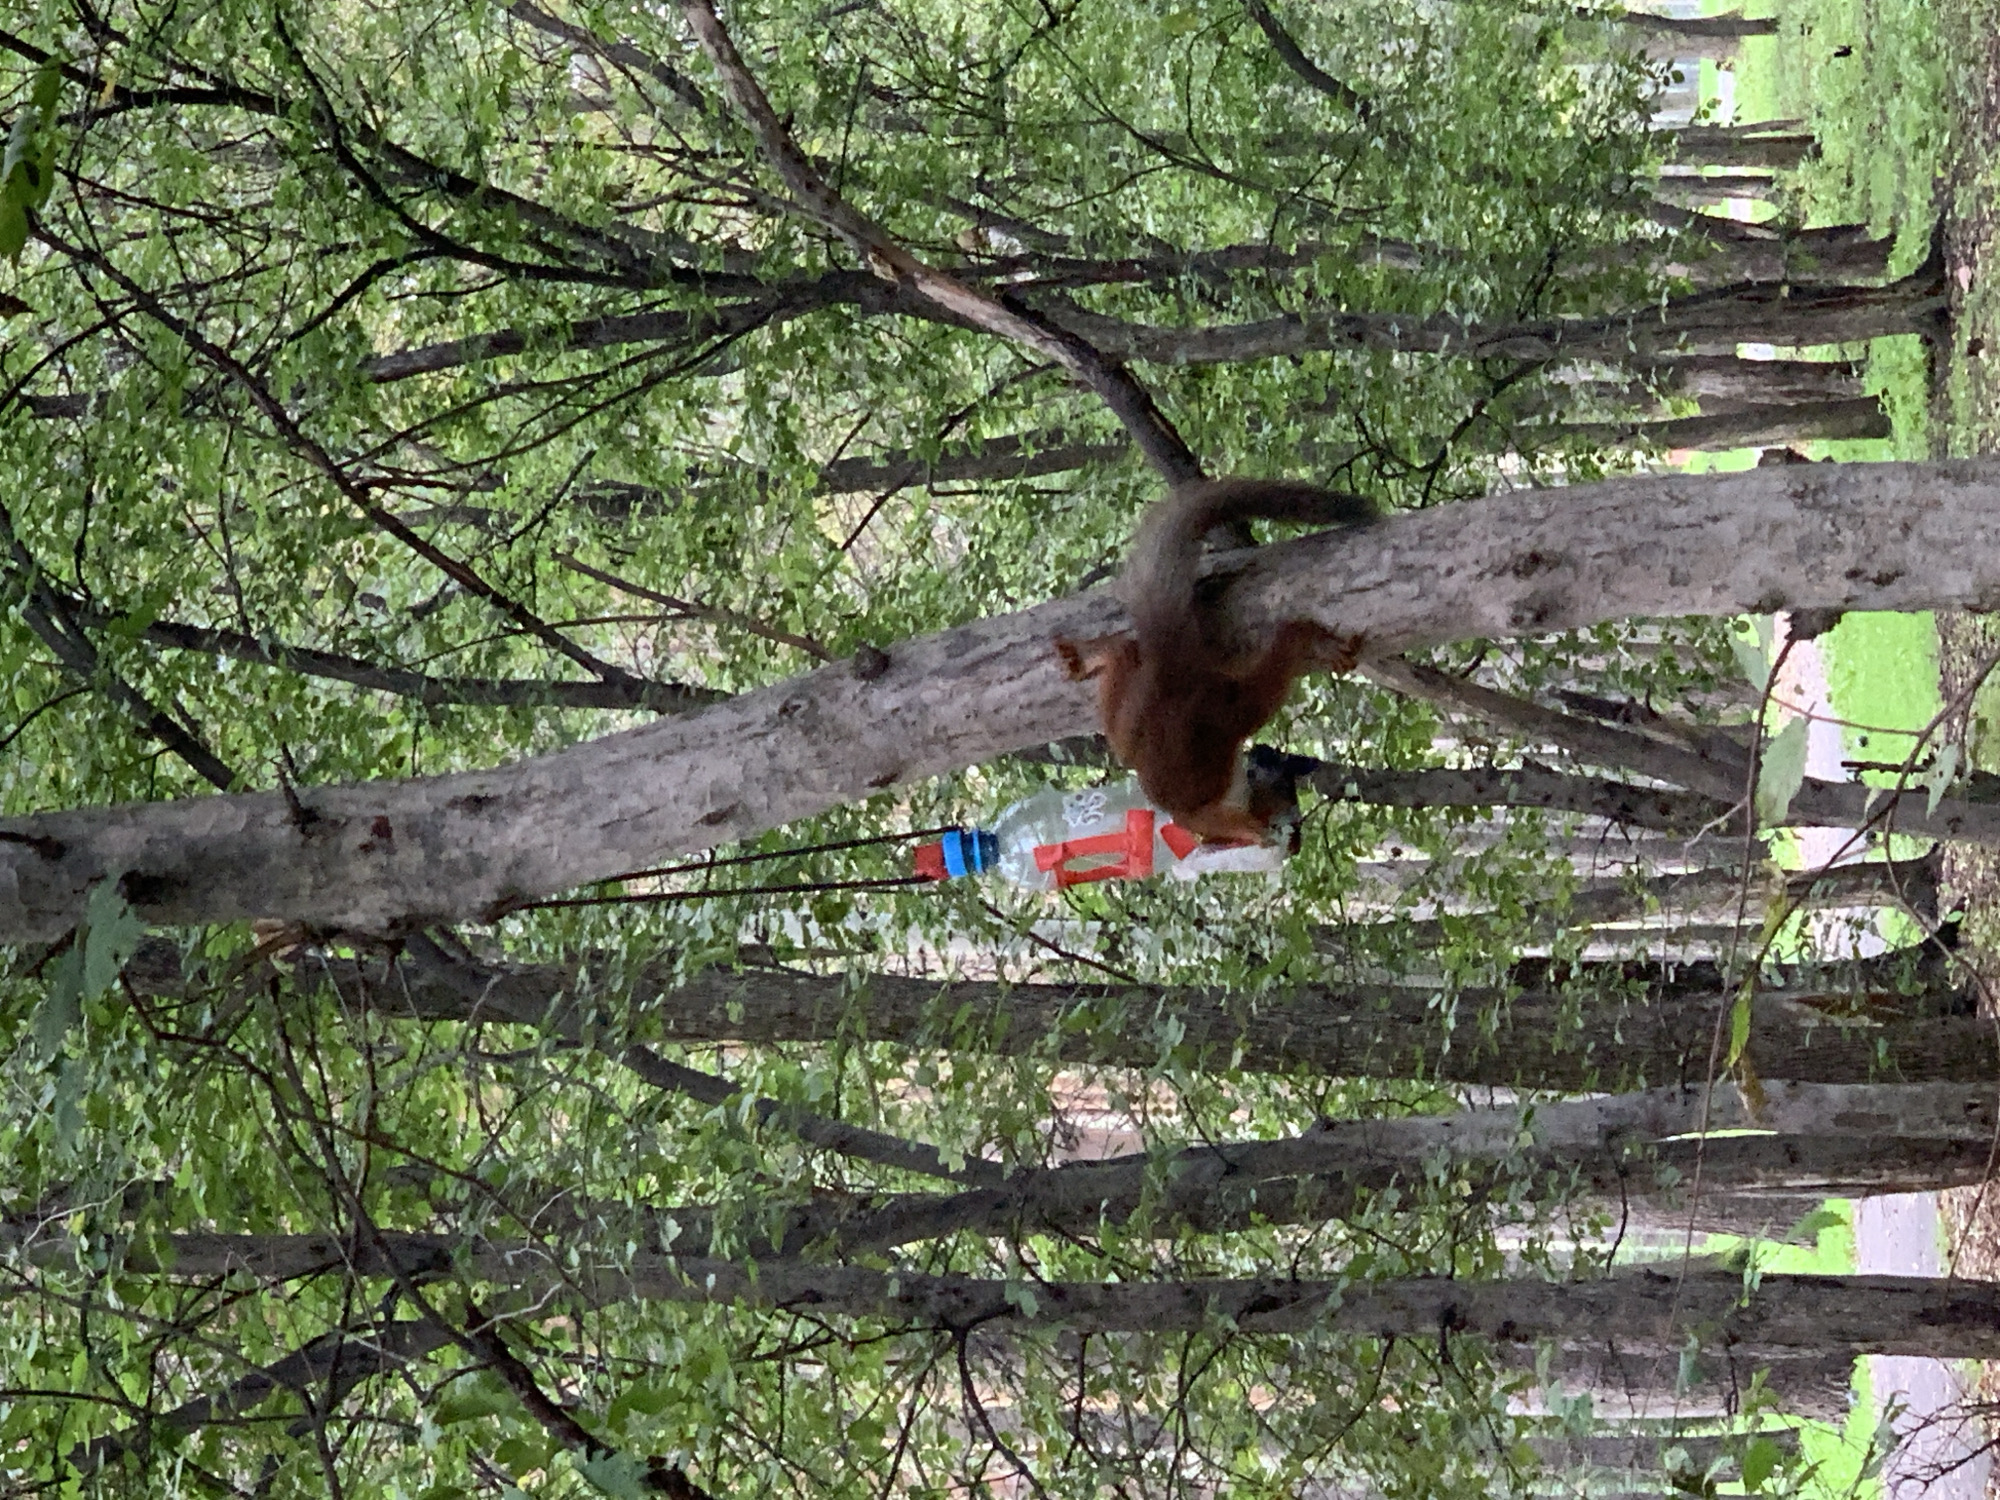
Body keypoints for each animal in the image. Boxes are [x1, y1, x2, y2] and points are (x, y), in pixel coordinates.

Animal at [1056, 478, 1375, 846]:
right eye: (1285, 795)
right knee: (1272, 664)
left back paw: (1082, 659)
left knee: (1123, 650)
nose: (1295, 841)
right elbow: (1227, 824)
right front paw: (1255, 834)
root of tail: (1172, 670)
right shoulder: (1209, 815)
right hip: (1222, 711)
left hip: (1133, 706)